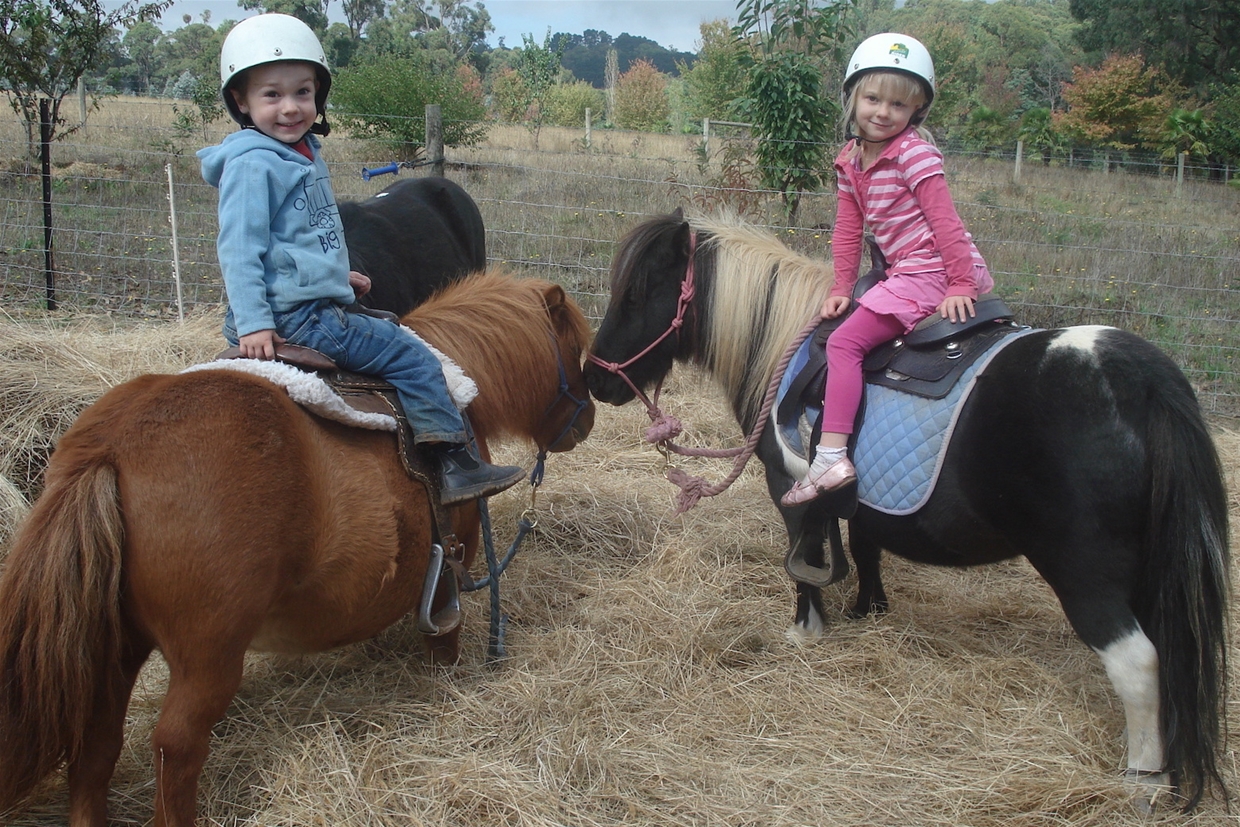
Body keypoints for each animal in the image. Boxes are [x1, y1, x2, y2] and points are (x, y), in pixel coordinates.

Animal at [0, 270, 595, 827]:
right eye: (576, 354)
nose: (586, 421)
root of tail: (113, 447)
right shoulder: (456, 553)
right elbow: (444, 632)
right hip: (206, 658)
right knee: (175, 745)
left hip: (116, 645)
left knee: (95, 745)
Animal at [582, 211, 1230, 812]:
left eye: (637, 293)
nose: (594, 378)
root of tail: (1145, 382)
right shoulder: (861, 504)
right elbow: (864, 545)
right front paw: (868, 610)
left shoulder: (787, 488)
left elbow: (803, 558)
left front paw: (806, 629)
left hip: (1086, 576)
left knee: (1139, 666)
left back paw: (1143, 781)